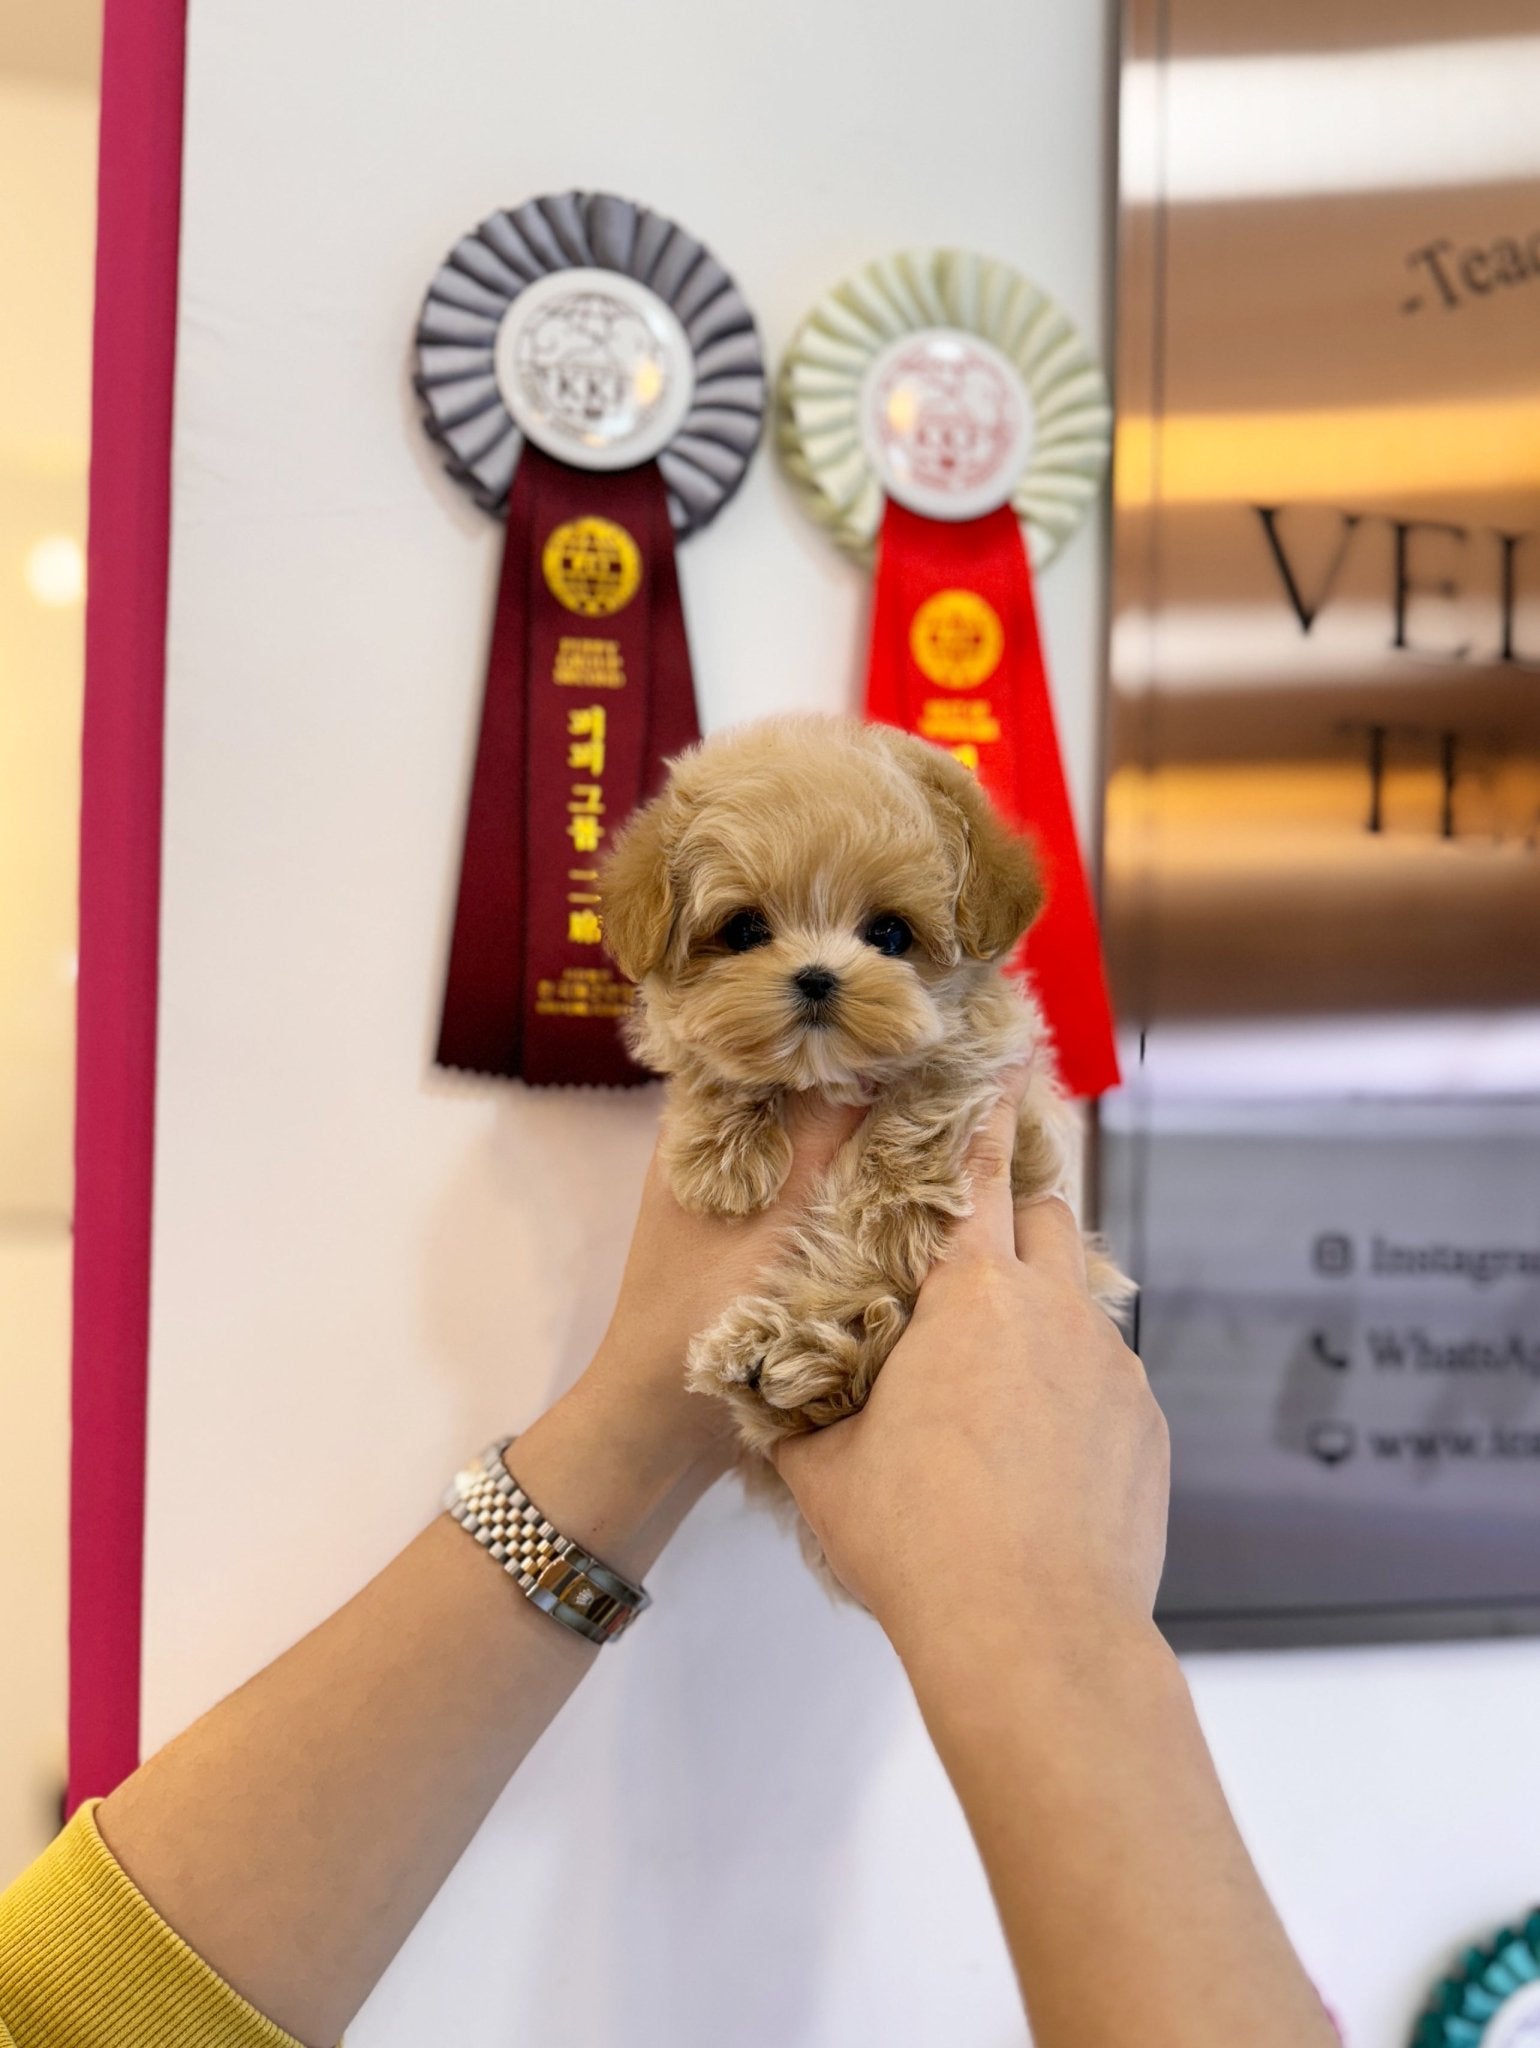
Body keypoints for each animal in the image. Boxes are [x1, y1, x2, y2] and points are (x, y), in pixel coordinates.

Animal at [602, 716, 1130, 1458]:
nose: (817, 977)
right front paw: (723, 1158)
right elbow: (712, 1063)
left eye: (890, 933)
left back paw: (798, 1352)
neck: (827, 1076)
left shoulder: (993, 1069)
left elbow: (919, 1115)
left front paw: (889, 1207)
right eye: (744, 930)